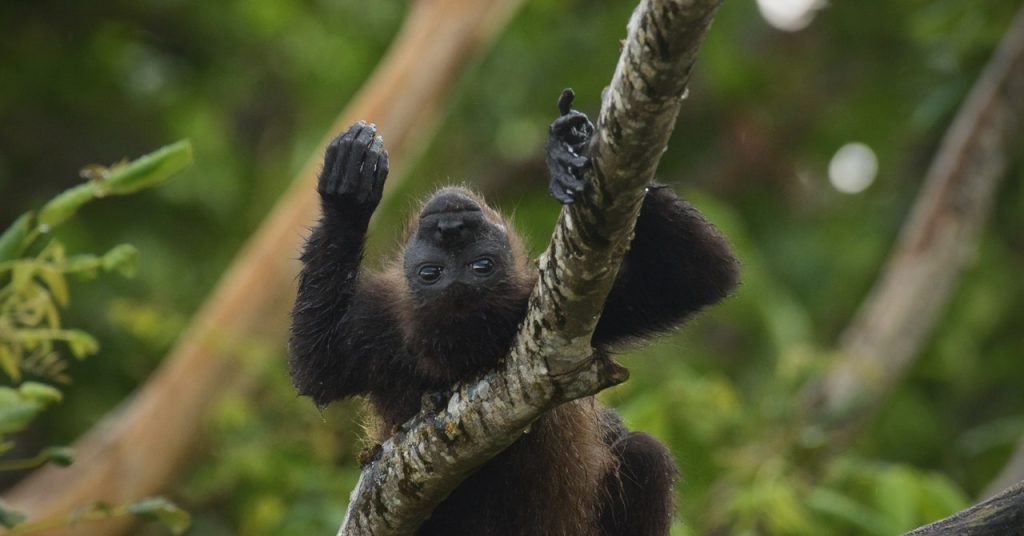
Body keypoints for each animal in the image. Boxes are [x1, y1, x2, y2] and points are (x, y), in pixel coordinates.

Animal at [288, 89, 739, 535]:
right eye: (431, 273)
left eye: (480, 266)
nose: (450, 227)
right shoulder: (382, 333)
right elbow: (320, 367)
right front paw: (346, 199)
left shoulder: (556, 305)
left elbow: (695, 274)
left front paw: (571, 151)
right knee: (646, 454)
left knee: (645, 454)